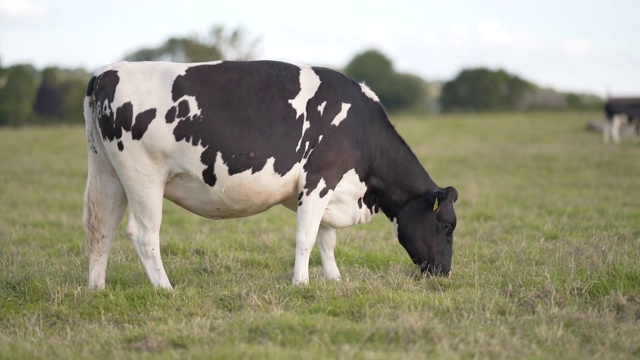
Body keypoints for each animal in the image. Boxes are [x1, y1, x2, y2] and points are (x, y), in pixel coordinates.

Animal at [82, 59, 458, 290]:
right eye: (446, 226)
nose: (444, 274)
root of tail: (107, 72)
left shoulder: (321, 189)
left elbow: (326, 238)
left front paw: (333, 279)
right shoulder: (320, 179)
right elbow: (307, 237)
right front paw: (301, 283)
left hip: (108, 173)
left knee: (102, 228)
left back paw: (97, 288)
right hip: (143, 175)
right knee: (143, 233)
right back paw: (165, 288)